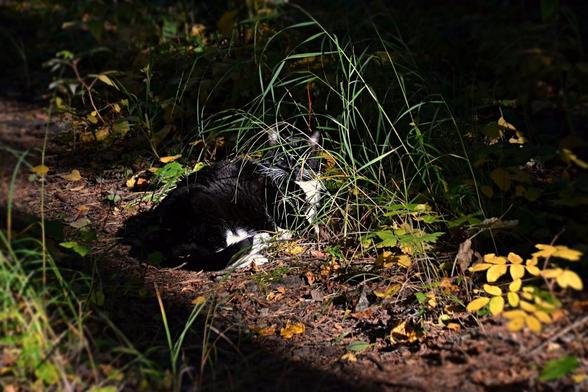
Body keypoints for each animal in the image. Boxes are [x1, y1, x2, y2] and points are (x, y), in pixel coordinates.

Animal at [119, 127, 322, 272]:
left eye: (302, 159)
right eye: (281, 158)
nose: (292, 169)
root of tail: (162, 234)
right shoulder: (282, 209)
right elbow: (304, 225)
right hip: (206, 210)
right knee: (215, 258)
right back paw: (260, 248)